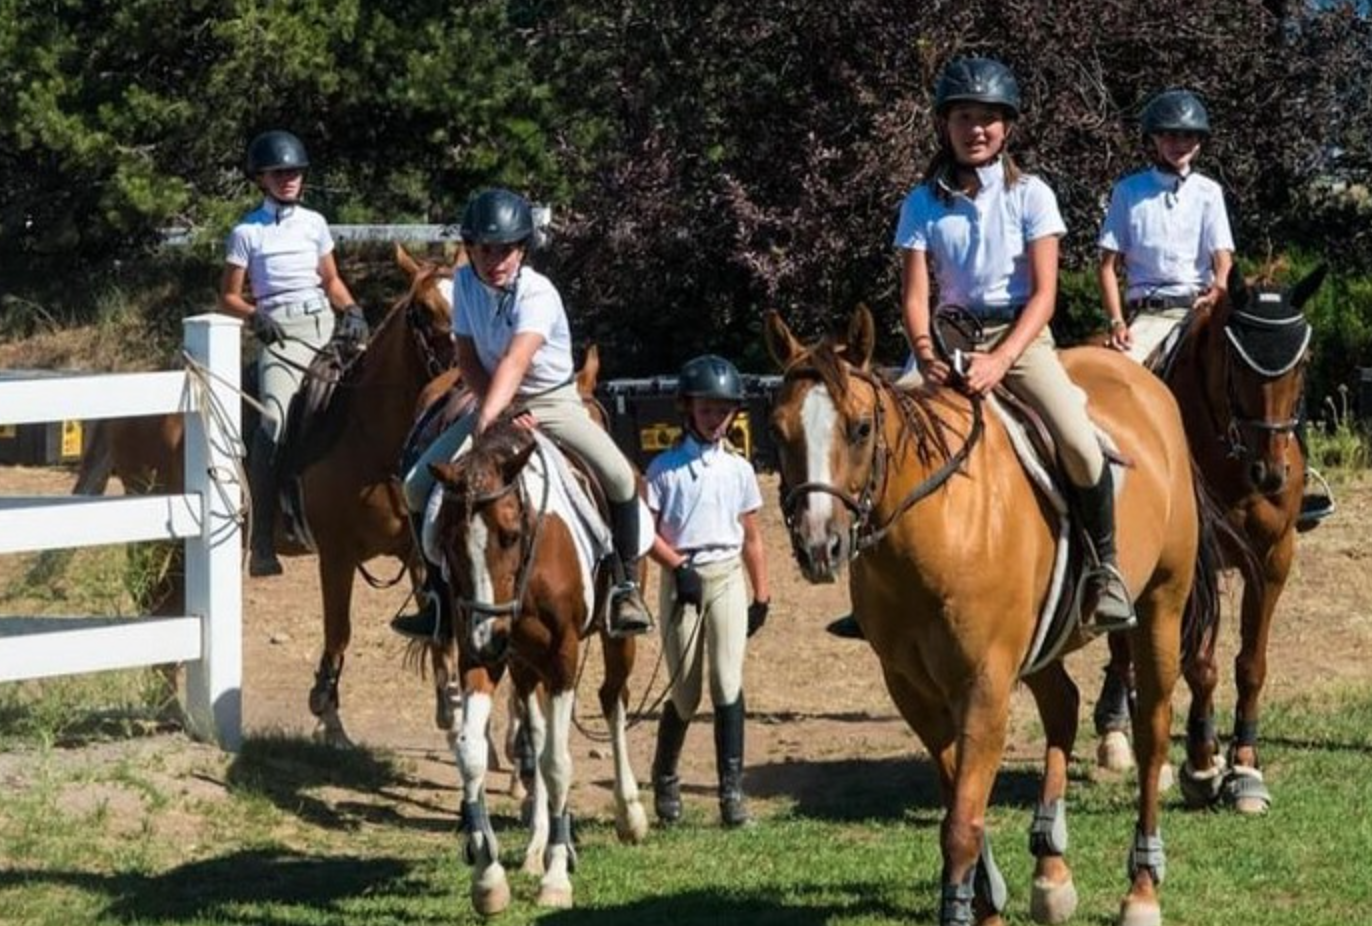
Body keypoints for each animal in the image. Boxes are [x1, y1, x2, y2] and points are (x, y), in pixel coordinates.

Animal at [75, 246, 458, 746]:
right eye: (424, 310)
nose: (459, 377)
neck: (369, 433)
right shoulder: (335, 555)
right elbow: (339, 632)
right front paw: (327, 714)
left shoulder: (416, 554)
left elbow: (437, 628)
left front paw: (453, 716)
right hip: (163, 537)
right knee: (157, 603)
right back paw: (167, 705)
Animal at [425, 414, 644, 921]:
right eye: (449, 541)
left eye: (509, 535)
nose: (489, 638)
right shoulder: (478, 659)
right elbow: (472, 754)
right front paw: (488, 880)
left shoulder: (562, 657)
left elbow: (559, 764)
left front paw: (557, 879)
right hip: (524, 664)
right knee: (539, 733)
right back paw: (535, 846)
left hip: (613, 641)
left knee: (613, 702)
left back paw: (629, 814)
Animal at [768, 310, 1229, 926]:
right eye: (778, 430)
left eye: (861, 428)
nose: (820, 546)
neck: (936, 530)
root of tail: (1145, 384)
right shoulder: (911, 688)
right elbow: (961, 804)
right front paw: (989, 899)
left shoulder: (984, 683)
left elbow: (962, 823)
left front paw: (966, 906)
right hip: (1041, 643)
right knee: (1063, 706)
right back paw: (1051, 872)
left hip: (1162, 606)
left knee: (1153, 736)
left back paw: (1142, 888)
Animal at [1092, 264, 1317, 817]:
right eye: (1237, 365)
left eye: (1302, 364)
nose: (1271, 473)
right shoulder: (1197, 564)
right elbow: (1200, 665)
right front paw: (1201, 762)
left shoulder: (1273, 558)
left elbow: (1251, 665)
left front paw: (1245, 767)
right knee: (1124, 646)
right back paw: (1118, 738)